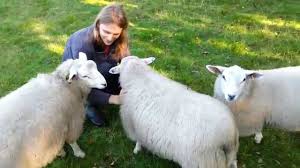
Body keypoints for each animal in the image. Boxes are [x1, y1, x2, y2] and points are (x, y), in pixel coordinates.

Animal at [109, 56, 239, 168]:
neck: (139, 77)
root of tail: (229, 136)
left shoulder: (133, 124)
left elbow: (138, 141)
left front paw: (136, 150)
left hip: (201, 161)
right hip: (230, 156)